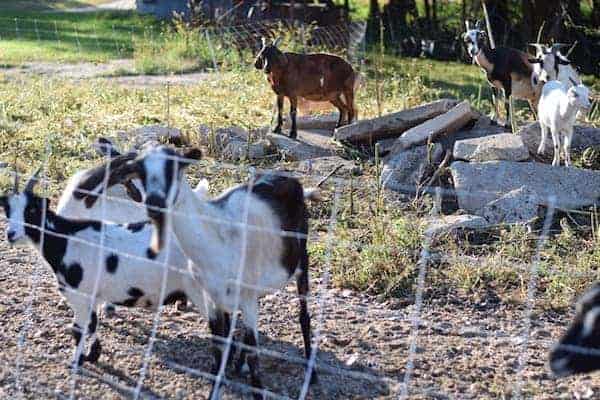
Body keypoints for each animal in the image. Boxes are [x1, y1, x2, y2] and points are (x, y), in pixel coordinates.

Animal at [0, 169, 209, 366]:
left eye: (31, 210)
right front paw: (93, 354)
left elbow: (78, 329)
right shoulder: (94, 296)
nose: (11, 234)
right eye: (8, 210)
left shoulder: (80, 295)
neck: (67, 238)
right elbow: (92, 325)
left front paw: (77, 360)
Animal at [87, 147, 322, 400]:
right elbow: (219, 347)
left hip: (301, 260)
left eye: (175, 167)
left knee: (304, 315)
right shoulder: (212, 297)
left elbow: (253, 355)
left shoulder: (246, 297)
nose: (155, 203)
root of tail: (290, 179)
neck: (216, 237)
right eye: (140, 170)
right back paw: (238, 364)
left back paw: (312, 374)